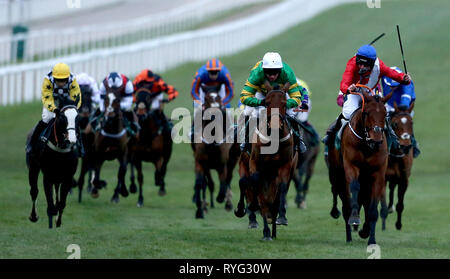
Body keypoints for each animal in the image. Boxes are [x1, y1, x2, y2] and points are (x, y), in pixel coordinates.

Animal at [25, 95, 80, 229]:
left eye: (77, 117)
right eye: (62, 116)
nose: (71, 140)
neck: (60, 148)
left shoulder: (67, 176)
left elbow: (61, 203)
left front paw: (58, 221)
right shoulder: (48, 175)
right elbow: (50, 204)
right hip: (33, 167)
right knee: (34, 191)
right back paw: (33, 216)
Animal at [191, 85, 239, 219]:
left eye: (219, 98)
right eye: (207, 99)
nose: (214, 114)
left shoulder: (222, 164)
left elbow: (223, 183)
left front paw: (221, 198)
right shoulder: (201, 163)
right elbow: (200, 183)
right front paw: (200, 209)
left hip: (233, 159)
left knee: (228, 179)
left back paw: (228, 203)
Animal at [234, 82, 298, 242]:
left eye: (284, 103)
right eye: (267, 103)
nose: (275, 125)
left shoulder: (285, 165)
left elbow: (282, 188)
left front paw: (280, 218)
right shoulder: (254, 163)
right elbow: (254, 186)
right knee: (245, 183)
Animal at [326, 85, 392, 245]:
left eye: (385, 113)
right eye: (367, 112)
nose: (376, 140)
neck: (366, 145)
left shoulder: (377, 174)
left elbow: (372, 208)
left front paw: (370, 237)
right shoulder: (351, 165)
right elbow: (354, 188)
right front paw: (355, 218)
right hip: (337, 175)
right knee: (345, 204)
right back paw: (349, 236)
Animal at [380, 101, 414, 231]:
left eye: (411, 122)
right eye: (395, 124)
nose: (405, 146)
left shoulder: (404, 179)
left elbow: (400, 204)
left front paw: (398, 225)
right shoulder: (383, 178)